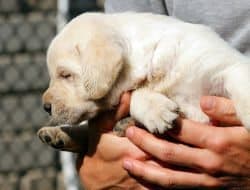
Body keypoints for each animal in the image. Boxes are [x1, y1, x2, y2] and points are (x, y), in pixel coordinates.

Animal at [37, 12, 250, 152]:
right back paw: (57, 135)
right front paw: (155, 110)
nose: (45, 107)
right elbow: (138, 92)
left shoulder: (228, 65)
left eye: (66, 75)